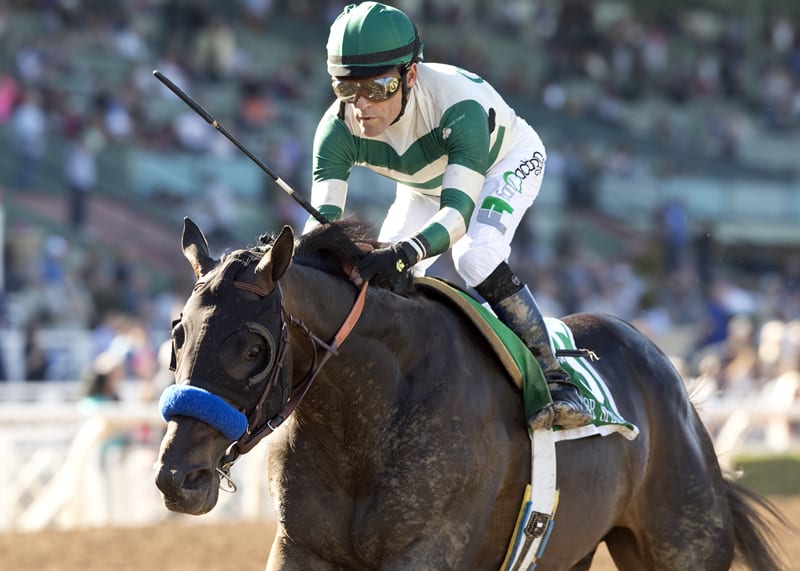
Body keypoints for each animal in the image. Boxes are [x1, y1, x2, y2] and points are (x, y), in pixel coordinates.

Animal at [153, 217, 784, 568]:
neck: (364, 420)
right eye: (177, 334)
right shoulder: (300, 549)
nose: (178, 477)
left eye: (254, 348)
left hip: (684, 542)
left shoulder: (426, 549)